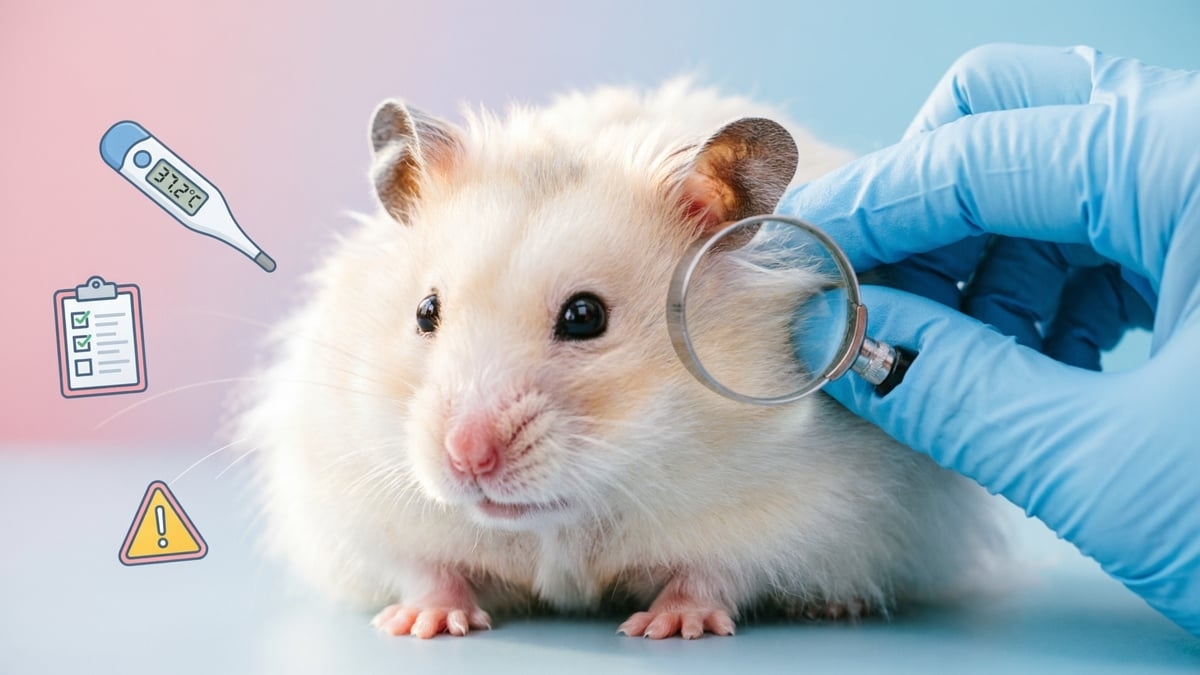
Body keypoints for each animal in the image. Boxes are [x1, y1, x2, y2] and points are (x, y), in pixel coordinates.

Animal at [237, 79, 1004, 640]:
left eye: (585, 316)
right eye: (426, 311)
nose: (465, 455)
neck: (569, 514)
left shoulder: (807, 505)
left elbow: (718, 570)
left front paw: (669, 626)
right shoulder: (347, 486)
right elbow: (423, 564)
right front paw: (422, 623)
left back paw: (835, 607)